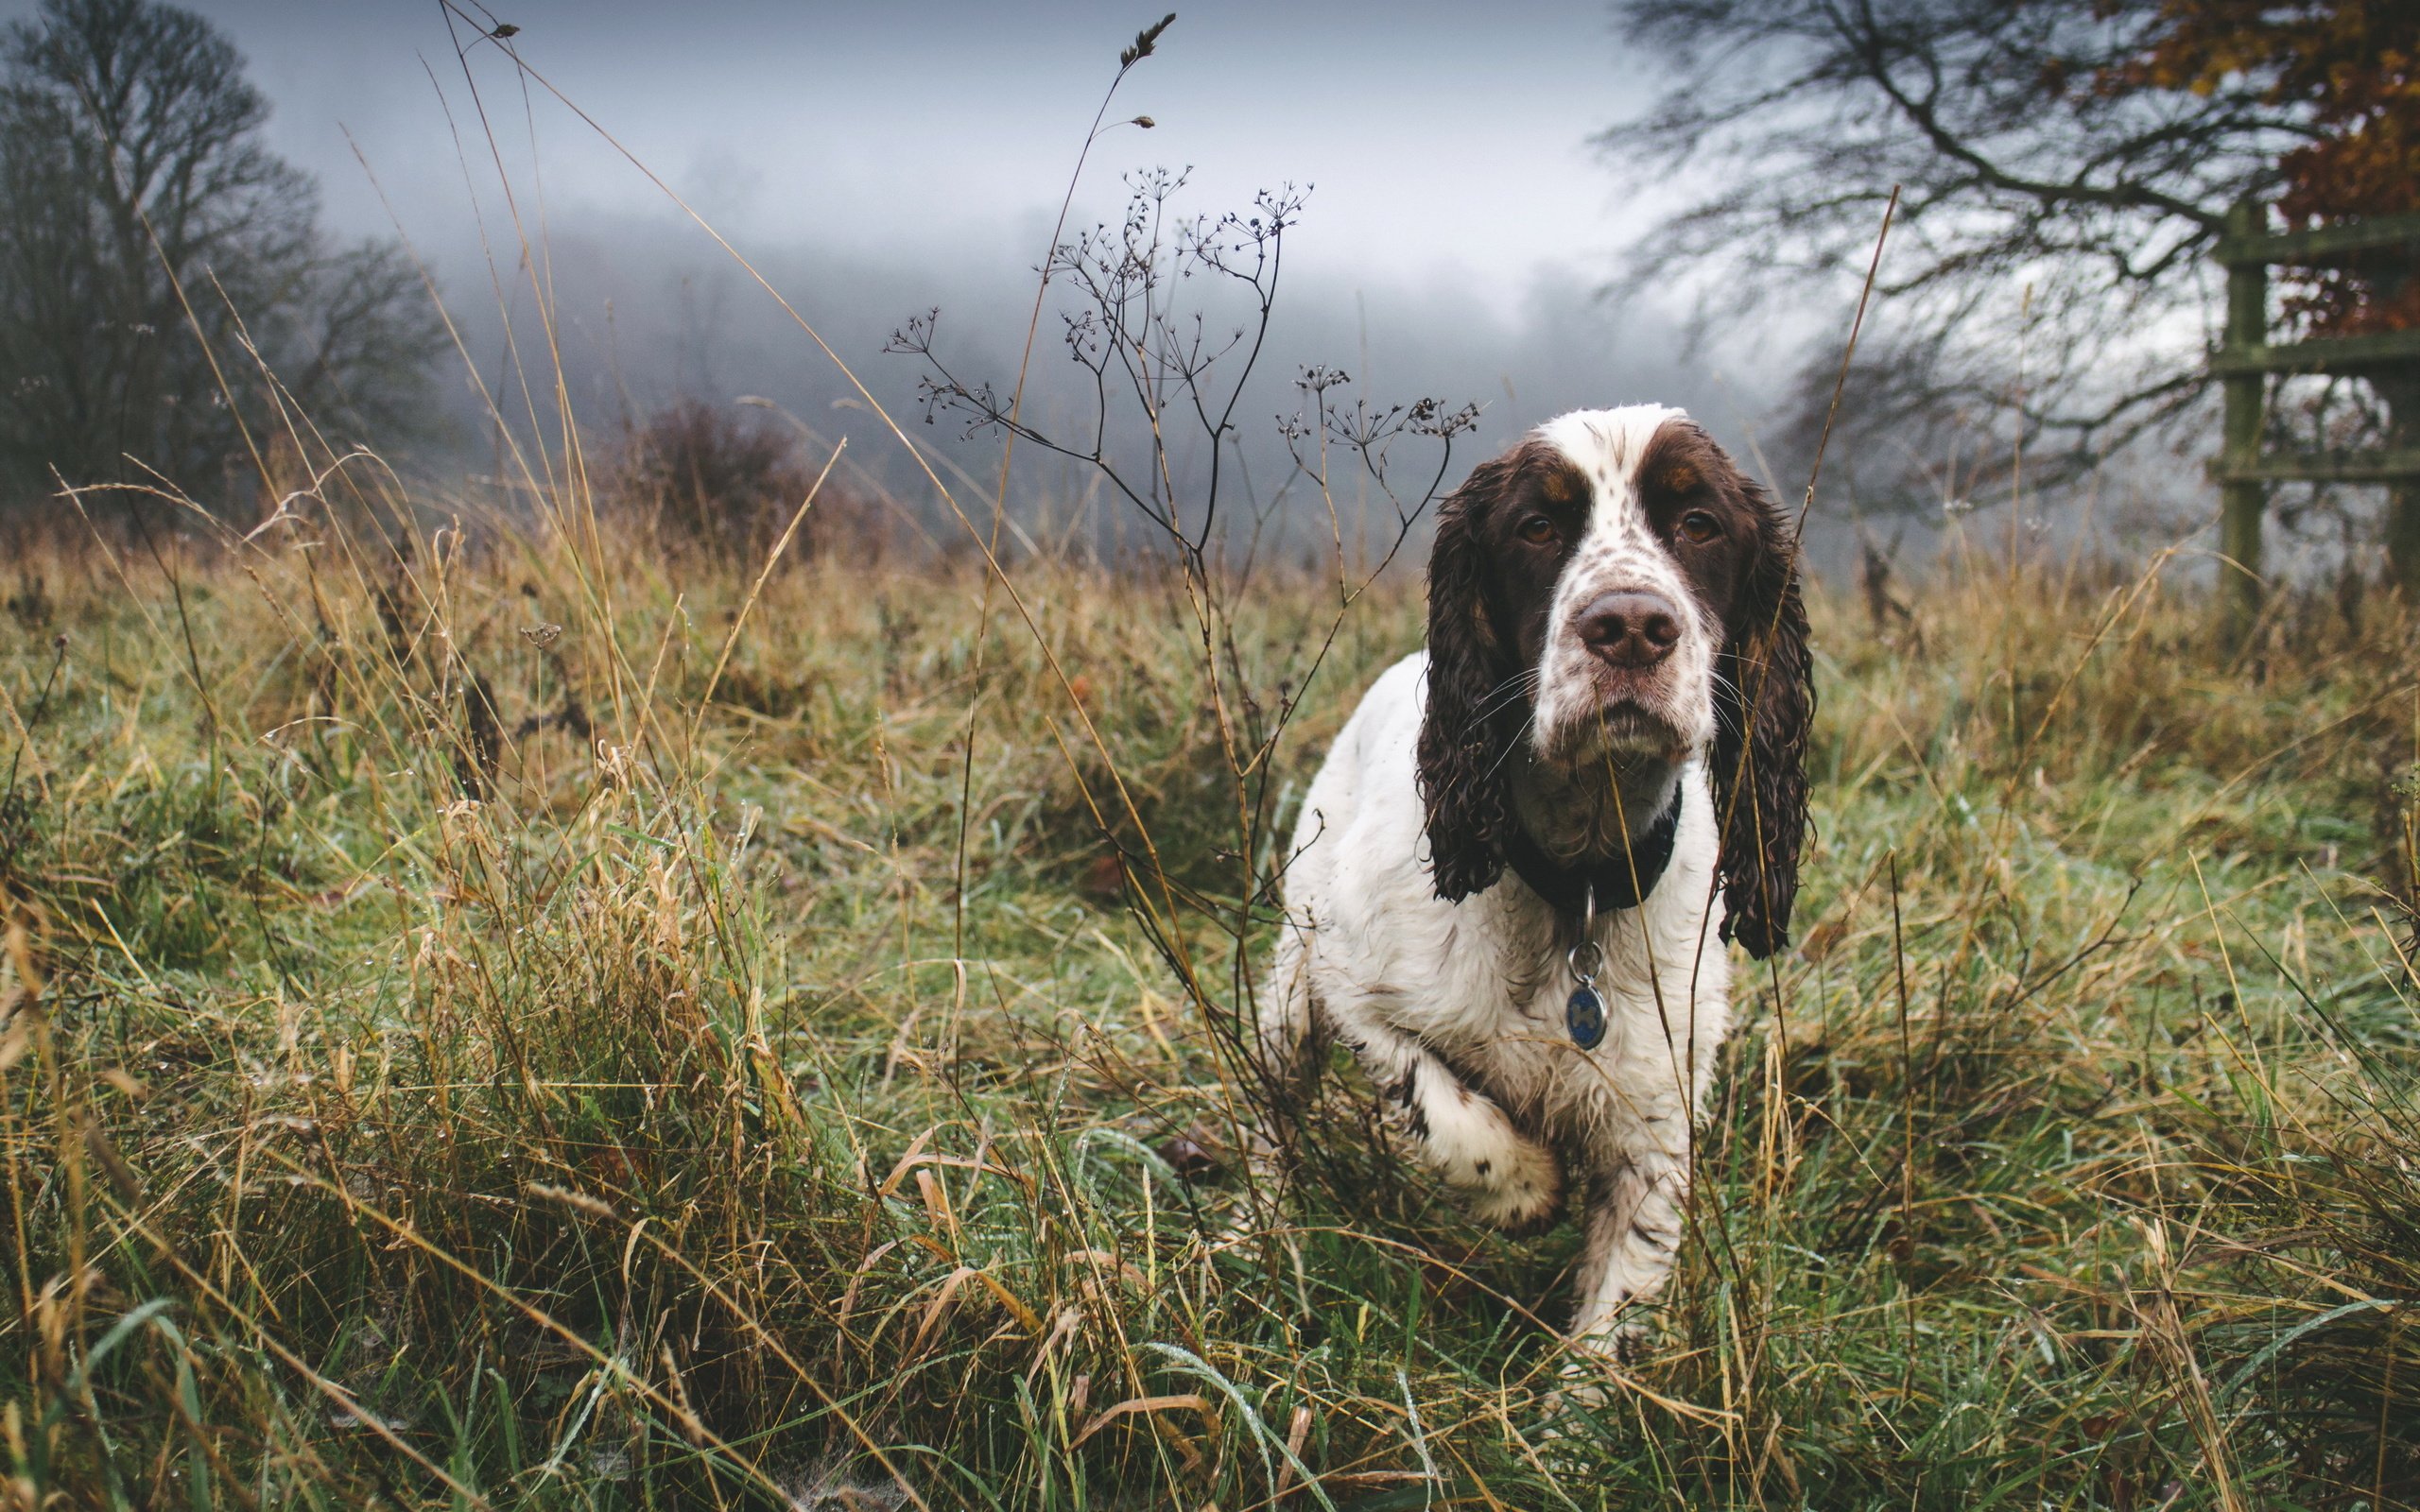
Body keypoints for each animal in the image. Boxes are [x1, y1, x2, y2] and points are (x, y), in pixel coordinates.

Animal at [1268, 401, 1820, 1345]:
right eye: (1536, 527)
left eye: (1699, 523)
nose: (1629, 626)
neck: (1579, 886)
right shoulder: (1351, 984)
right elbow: (1440, 1107)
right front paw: (1525, 1187)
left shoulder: (1657, 1126)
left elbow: (1612, 1321)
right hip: (1288, 999)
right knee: (1265, 1121)